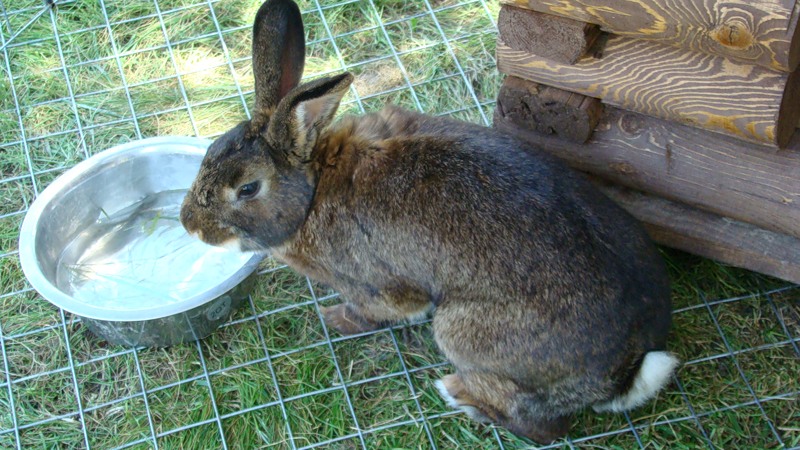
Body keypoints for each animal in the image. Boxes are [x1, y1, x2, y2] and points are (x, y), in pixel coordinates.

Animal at [179, 0, 679, 443]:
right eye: (210, 152)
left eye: (247, 189)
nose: (189, 225)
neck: (314, 187)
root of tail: (628, 367)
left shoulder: (376, 285)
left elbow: (377, 311)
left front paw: (334, 319)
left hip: (463, 333)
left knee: (542, 427)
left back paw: (460, 394)